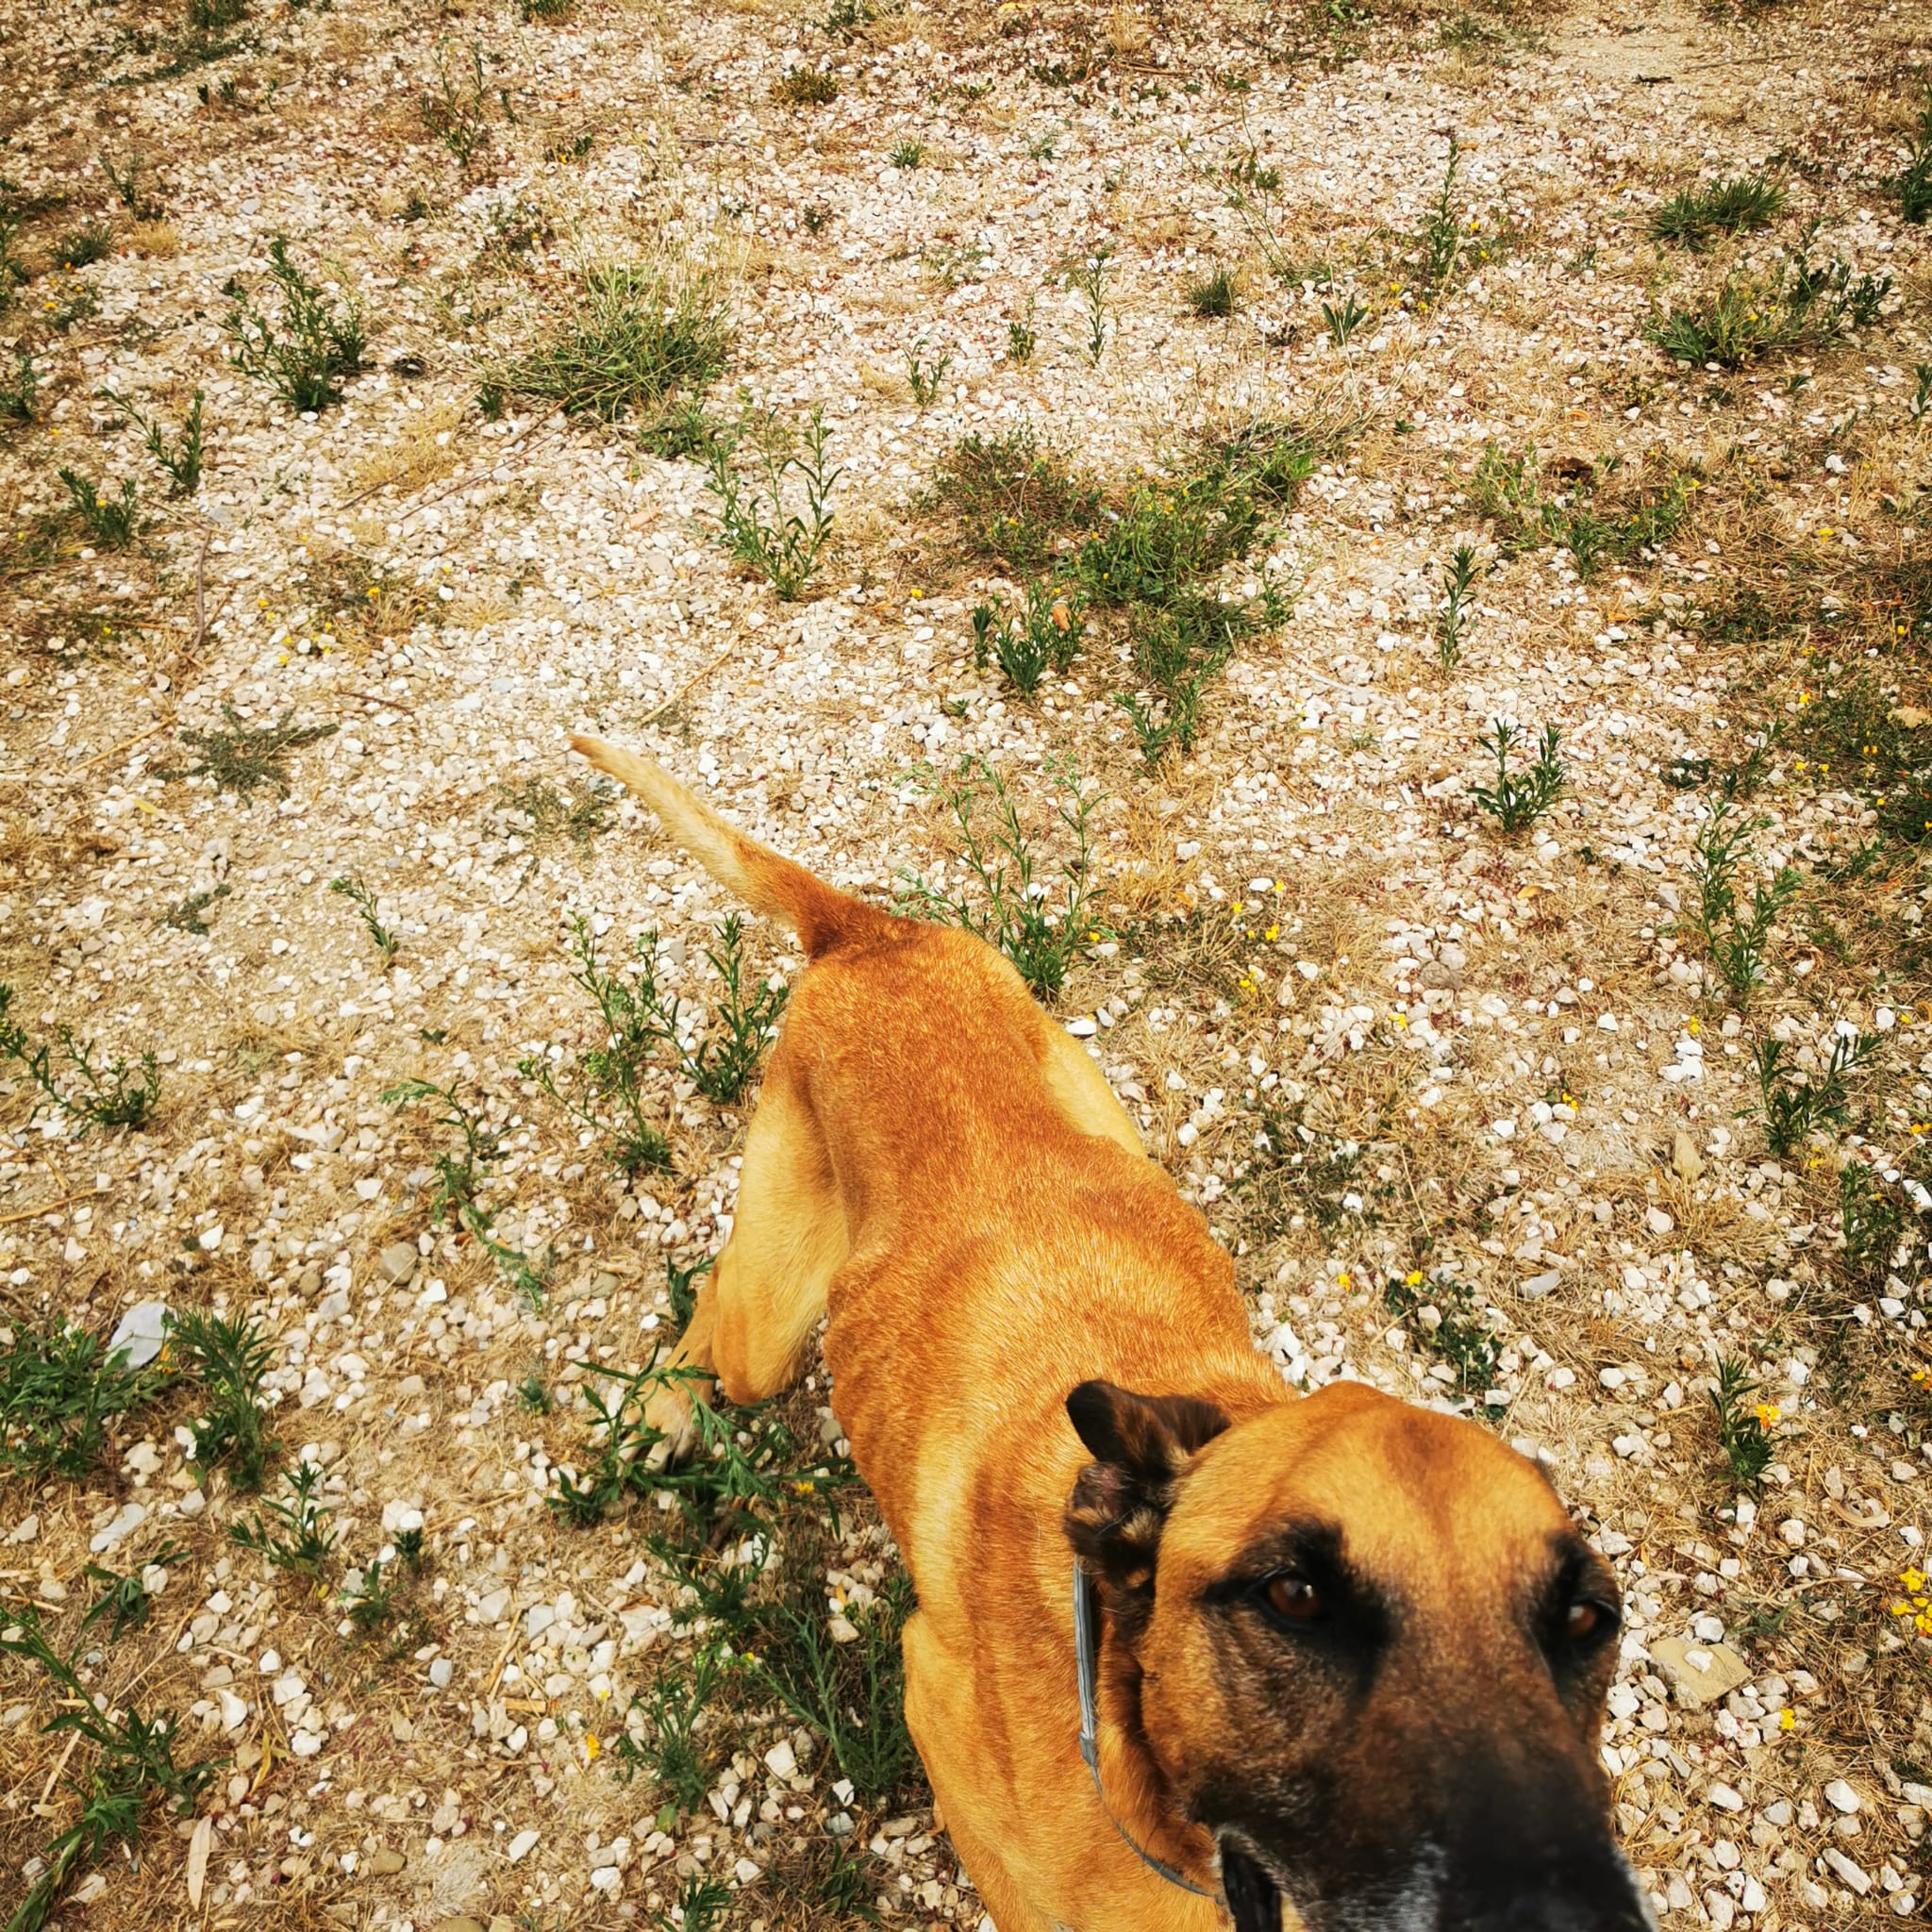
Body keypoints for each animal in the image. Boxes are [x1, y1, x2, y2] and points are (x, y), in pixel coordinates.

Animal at [571, 732, 1654, 1932]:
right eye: (1292, 1597)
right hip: (769, 1325)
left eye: (1586, 1620)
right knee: (718, 1298)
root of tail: (870, 933)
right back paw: (665, 1403)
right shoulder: (941, 1711)